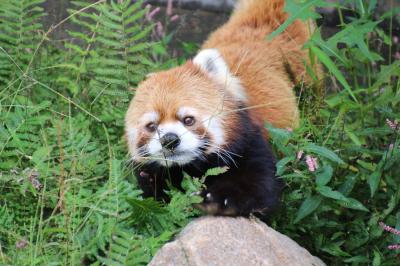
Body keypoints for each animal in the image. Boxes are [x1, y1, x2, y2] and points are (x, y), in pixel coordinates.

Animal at [125, 0, 316, 216]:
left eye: (188, 119)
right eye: (151, 125)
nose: (169, 140)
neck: (189, 167)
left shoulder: (250, 143)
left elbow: (258, 187)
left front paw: (217, 200)